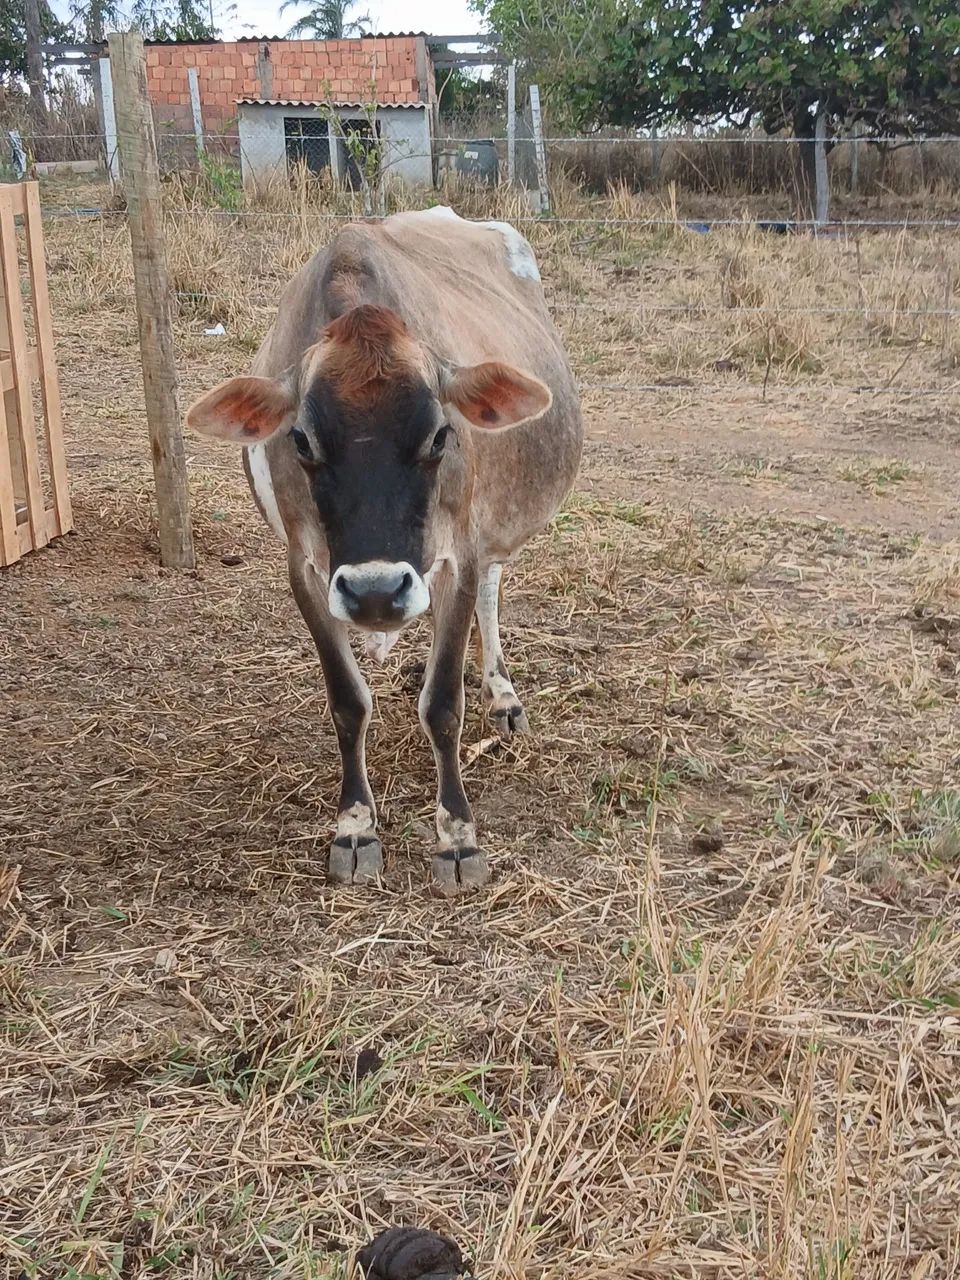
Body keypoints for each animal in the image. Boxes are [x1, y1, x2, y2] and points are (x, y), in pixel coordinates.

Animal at [186, 207, 583, 895]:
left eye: (441, 435)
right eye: (301, 440)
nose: (376, 590)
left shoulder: (458, 557)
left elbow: (443, 704)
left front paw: (457, 836)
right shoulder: (307, 572)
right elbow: (347, 702)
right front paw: (354, 826)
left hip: (487, 535)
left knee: (492, 591)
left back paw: (502, 694)